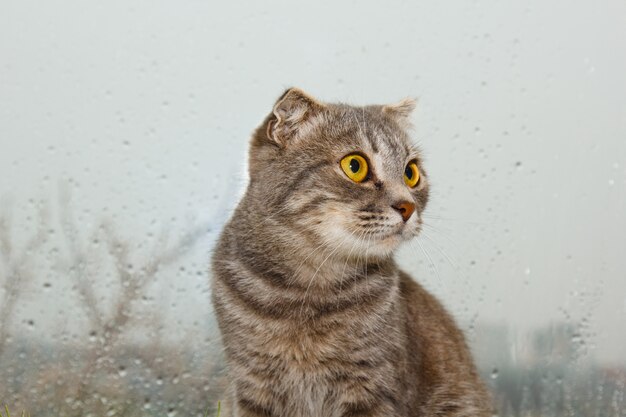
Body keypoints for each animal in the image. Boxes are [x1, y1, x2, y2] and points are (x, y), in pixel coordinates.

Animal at [212, 88, 490, 416]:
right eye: (355, 166)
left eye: (411, 173)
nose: (408, 206)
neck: (307, 293)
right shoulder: (251, 383)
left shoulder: (372, 386)